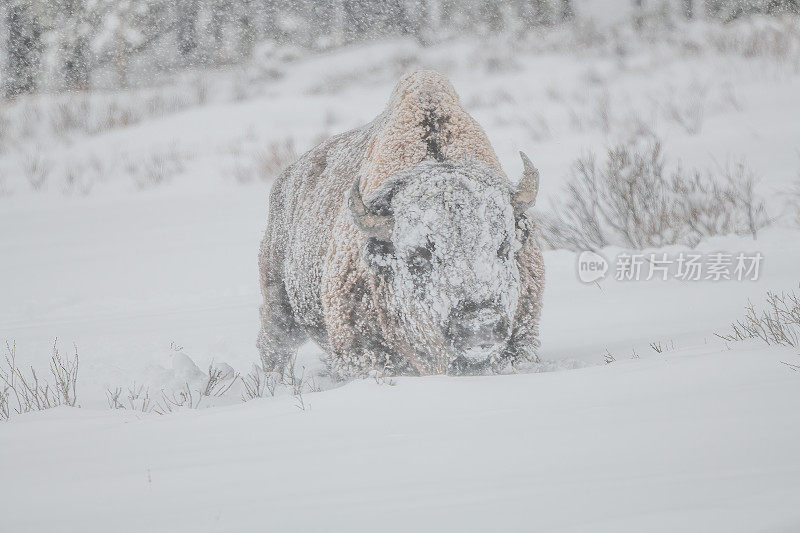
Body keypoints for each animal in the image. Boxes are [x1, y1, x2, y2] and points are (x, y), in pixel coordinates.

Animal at [260, 70, 548, 376]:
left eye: (503, 247)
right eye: (417, 257)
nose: (479, 326)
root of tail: (285, 180)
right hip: (279, 306)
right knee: (273, 345)